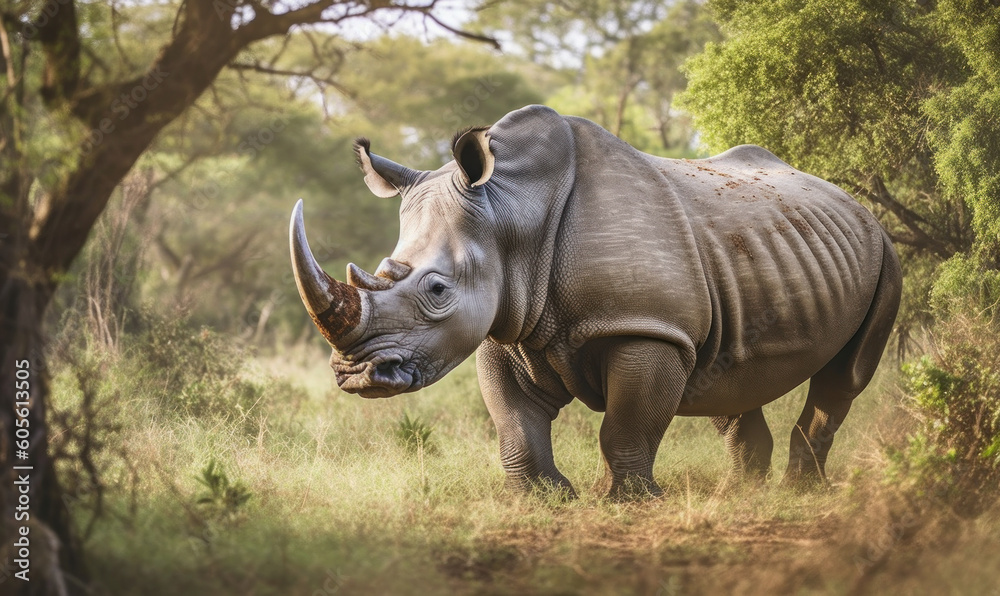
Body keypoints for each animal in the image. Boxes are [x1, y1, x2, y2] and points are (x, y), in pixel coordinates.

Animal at [289, 105, 901, 498]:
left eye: (437, 290)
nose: (356, 375)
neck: (512, 212)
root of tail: (856, 204)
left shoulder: (645, 325)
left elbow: (626, 423)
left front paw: (624, 499)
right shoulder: (506, 327)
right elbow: (514, 421)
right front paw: (542, 498)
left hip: (885, 256)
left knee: (843, 379)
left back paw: (802, 492)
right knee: (727, 374)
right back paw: (740, 494)